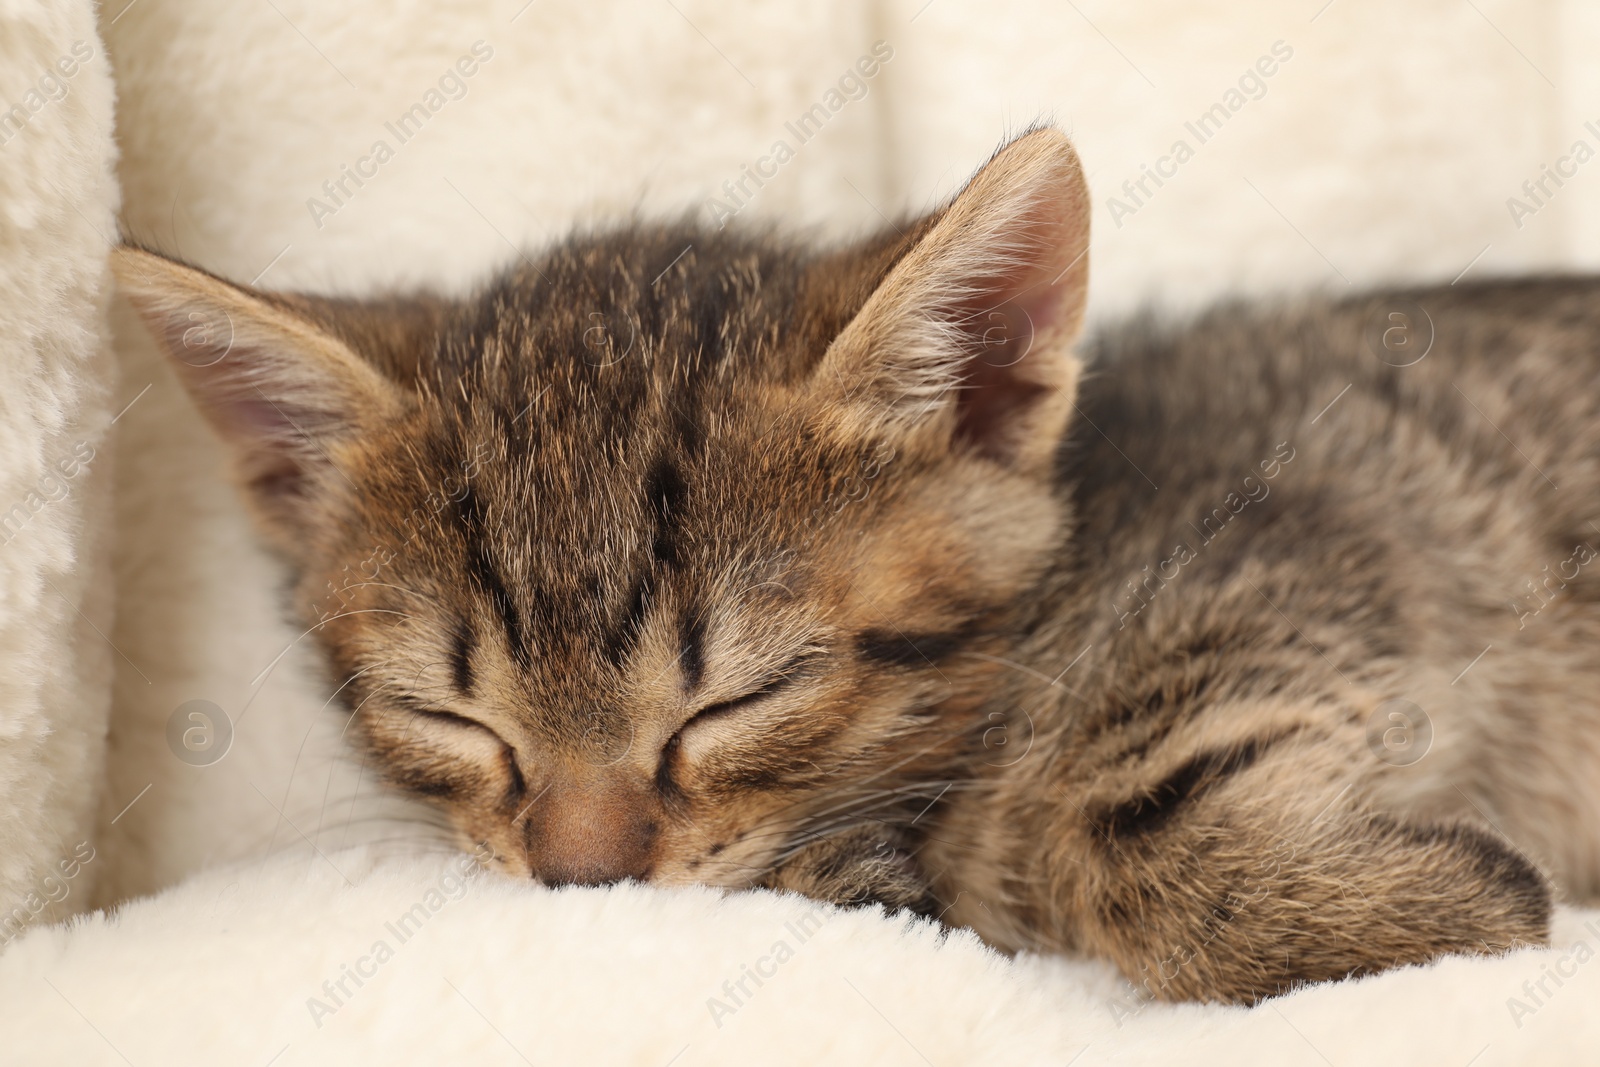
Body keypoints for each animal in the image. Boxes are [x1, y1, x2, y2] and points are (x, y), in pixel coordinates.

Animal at [116, 129, 1600, 1004]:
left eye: (737, 698)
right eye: (449, 714)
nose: (585, 881)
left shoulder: (1313, 531)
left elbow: (1111, 828)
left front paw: (1469, 899)